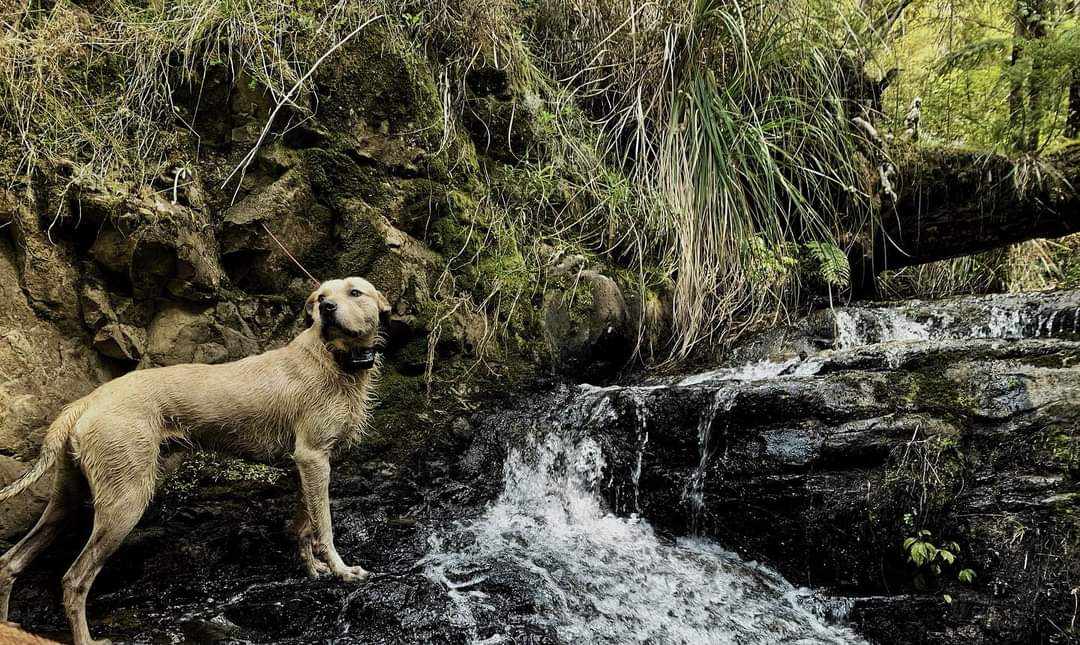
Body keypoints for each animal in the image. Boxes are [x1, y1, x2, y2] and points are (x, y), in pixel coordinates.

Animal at [0, 276, 388, 643]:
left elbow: (305, 524)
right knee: (74, 579)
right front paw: (341, 571)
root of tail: (87, 401)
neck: (332, 357)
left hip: (69, 499)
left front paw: (313, 569)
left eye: (354, 293)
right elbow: (325, 526)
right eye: (321, 296)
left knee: (11, 562)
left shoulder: (308, 466)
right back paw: (87, 639)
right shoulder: (313, 458)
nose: (327, 308)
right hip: (124, 503)